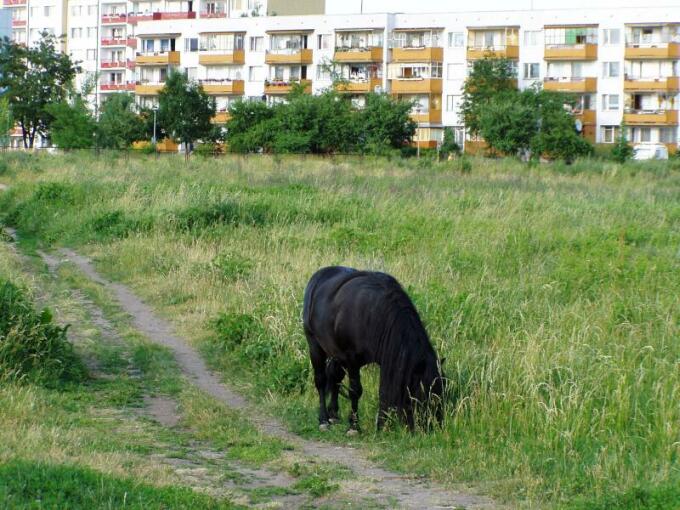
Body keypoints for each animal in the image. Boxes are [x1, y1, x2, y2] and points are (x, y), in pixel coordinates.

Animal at [304, 266, 446, 434]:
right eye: (424, 392)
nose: (433, 427)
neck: (374, 313)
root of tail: (318, 276)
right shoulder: (352, 360)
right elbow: (355, 390)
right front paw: (354, 426)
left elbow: (383, 391)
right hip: (315, 345)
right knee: (321, 380)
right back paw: (324, 420)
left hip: (336, 354)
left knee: (334, 376)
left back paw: (333, 415)